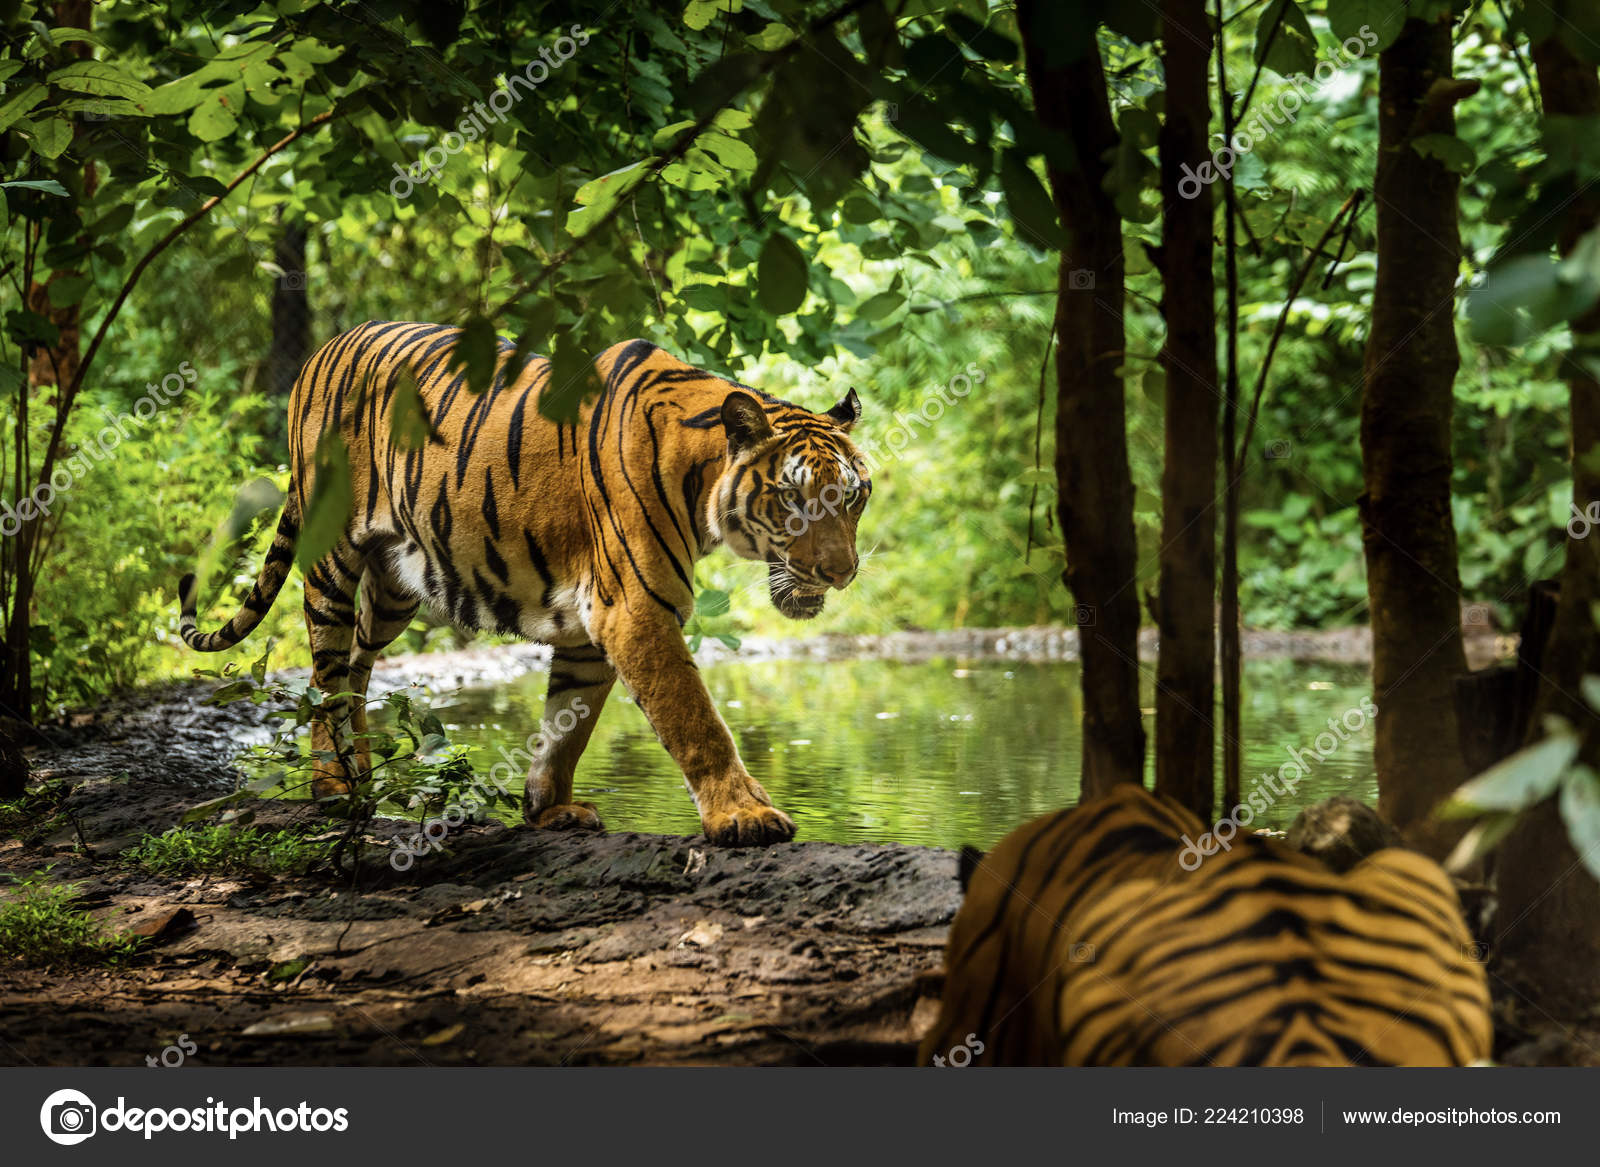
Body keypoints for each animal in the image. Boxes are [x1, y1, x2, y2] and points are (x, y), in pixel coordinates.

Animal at [176, 320, 871, 847]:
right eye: (793, 497)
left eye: (853, 495)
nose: (841, 573)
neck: (699, 477)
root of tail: (320, 351)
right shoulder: (636, 608)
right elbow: (695, 719)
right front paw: (743, 816)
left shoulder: (593, 627)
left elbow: (567, 725)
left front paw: (549, 808)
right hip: (332, 561)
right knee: (325, 676)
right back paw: (334, 787)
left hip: (393, 588)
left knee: (355, 671)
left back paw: (365, 780)